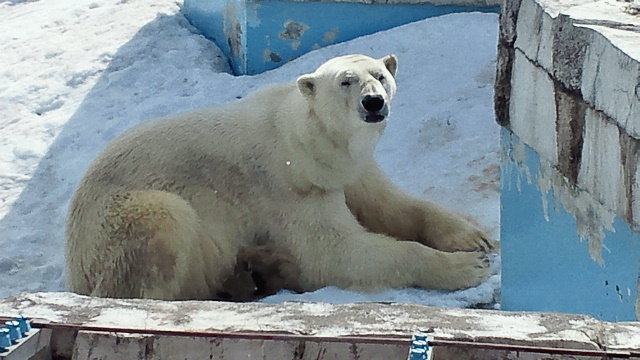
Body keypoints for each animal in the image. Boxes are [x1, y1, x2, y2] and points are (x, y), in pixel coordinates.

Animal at [66, 54, 496, 300]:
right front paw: (468, 267)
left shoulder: (347, 171)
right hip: (118, 226)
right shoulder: (289, 187)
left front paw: (474, 238)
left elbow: (392, 204)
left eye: (380, 74)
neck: (307, 139)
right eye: (345, 81)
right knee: (159, 231)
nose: (373, 102)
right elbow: (335, 253)